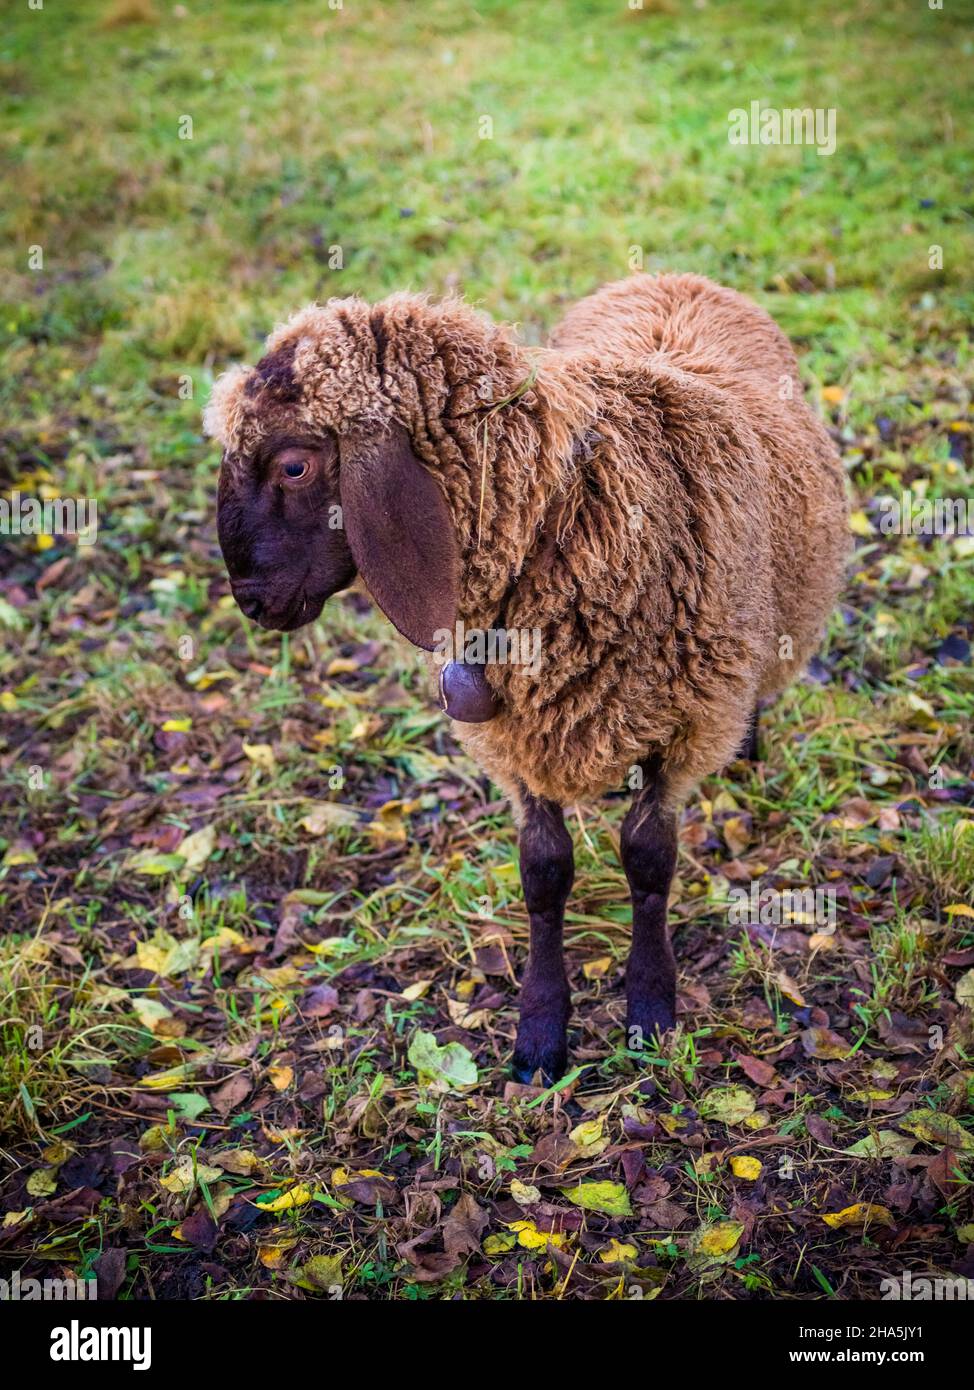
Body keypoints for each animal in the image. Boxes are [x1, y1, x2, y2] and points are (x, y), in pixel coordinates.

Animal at [204, 272, 850, 1084]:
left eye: (294, 464)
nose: (252, 603)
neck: (575, 512)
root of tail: (675, 278)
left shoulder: (688, 724)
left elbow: (648, 861)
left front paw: (650, 1008)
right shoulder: (516, 734)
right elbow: (544, 873)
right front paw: (541, 1033)